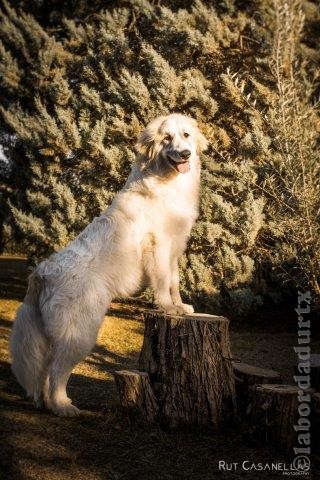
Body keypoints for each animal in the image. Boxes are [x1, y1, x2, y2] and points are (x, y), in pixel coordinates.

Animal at [9, 112, 208, 416]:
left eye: (186, 135)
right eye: (166, 138)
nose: (185, 153)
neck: (164, 181)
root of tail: (41, 273)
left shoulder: (174, 250)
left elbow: (175, 282)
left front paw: (180, 306)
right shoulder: (159, 247)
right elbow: (163, 283)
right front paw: (168, 307)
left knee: (44, 371)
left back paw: (45, 405)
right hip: (79, 333)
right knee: (55, 372)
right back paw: (63, 406)